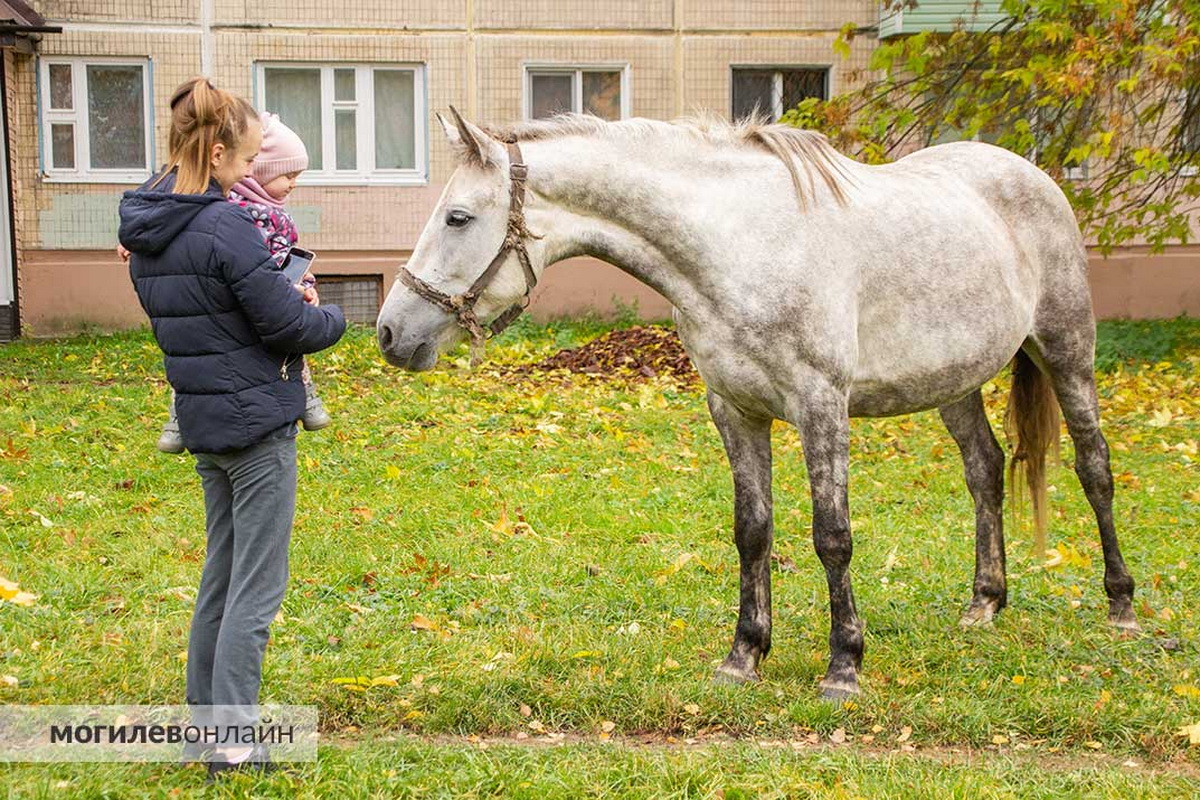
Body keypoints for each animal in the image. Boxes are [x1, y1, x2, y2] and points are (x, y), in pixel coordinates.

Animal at [374, 109, 1132, 695]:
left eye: (458, 217)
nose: (390, 333)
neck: (740, 245)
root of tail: (1031, 175)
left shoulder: (821, 407)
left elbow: (832, 536)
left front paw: (843, 667)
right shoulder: (736, 411)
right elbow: (753, 531)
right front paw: (744, 656)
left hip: (1067, 353)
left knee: (1094, 467)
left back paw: (1121, 606)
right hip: (955, 383)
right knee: (985, 470)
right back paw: (984, 604)